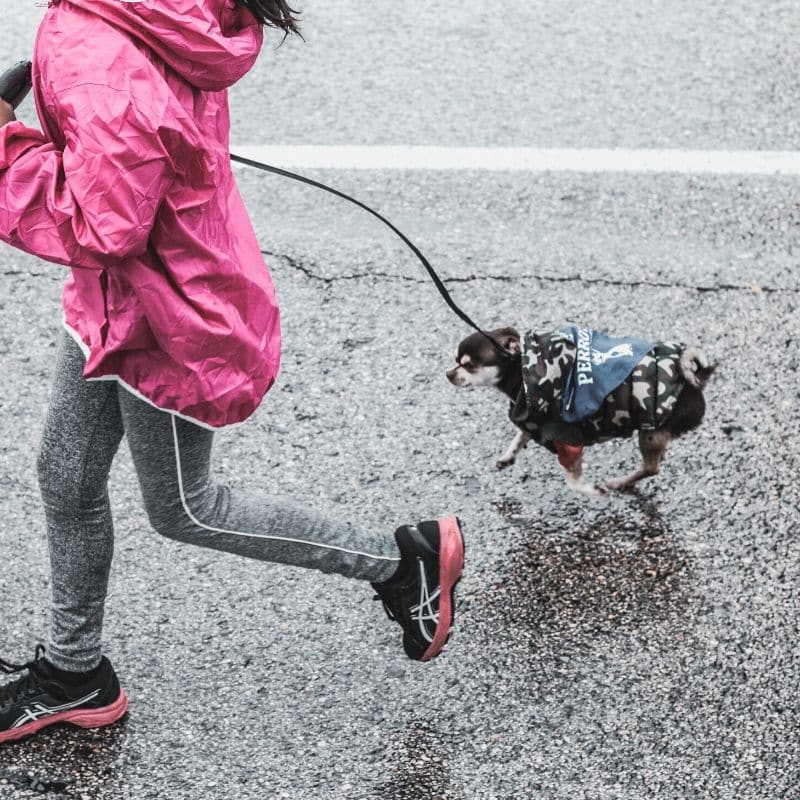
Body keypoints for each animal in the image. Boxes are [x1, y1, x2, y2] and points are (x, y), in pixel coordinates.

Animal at [446, 326, 716, 500]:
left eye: (470, 366)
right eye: (456, 360)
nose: (448, 374)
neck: (521, 371)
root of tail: (694, 384)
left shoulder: (568, 439)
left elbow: (573, 481)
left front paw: (593, 491)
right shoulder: (534, 420)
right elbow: (520, 436)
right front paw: (507, 456)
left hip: (650, 430)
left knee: (652, 468)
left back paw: (619, 482)